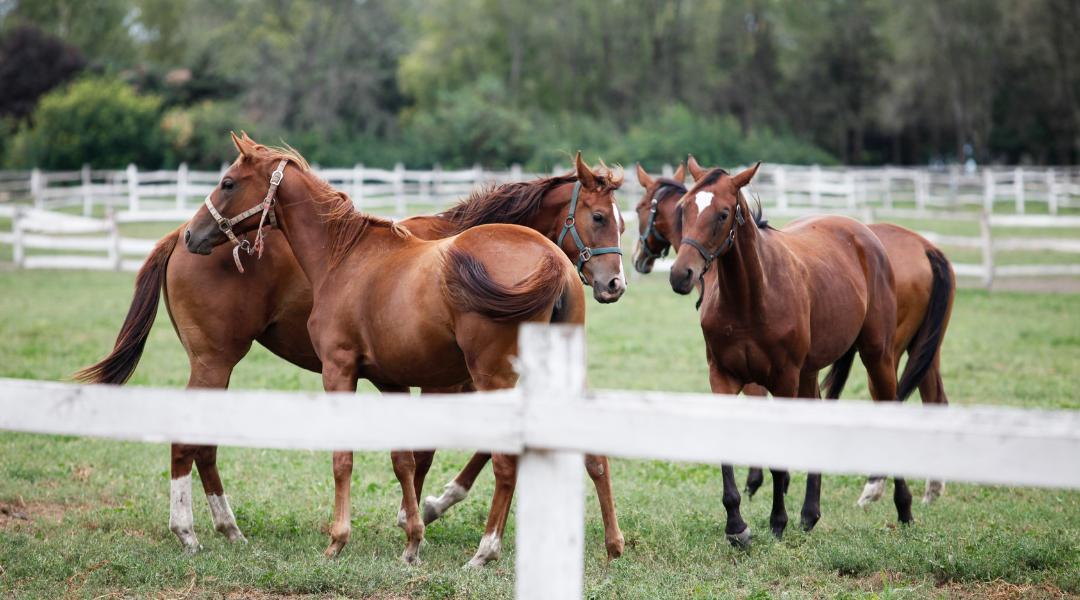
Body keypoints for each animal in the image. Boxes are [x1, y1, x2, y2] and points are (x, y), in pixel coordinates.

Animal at [76, 133, 630, 565]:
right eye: (600, 217)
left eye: (228, 182)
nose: (615, 284)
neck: (347, 254)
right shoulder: (411, 380)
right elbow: (410, 456)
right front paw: (413, 524)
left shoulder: (374, 374)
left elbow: (390, 454)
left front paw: (386, 528)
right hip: (216, 362)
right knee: (194, 441)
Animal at [665, 159, 902, 548]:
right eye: (683, 208)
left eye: (723, 213)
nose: (681, 275)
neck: (751, 299)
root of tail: (865, 235)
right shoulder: (722, 378)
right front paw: (737, 526)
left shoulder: (783, 380)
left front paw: (777, 522)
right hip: (810, 373)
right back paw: (810, 513)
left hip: (877, 356)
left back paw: (904, 508)